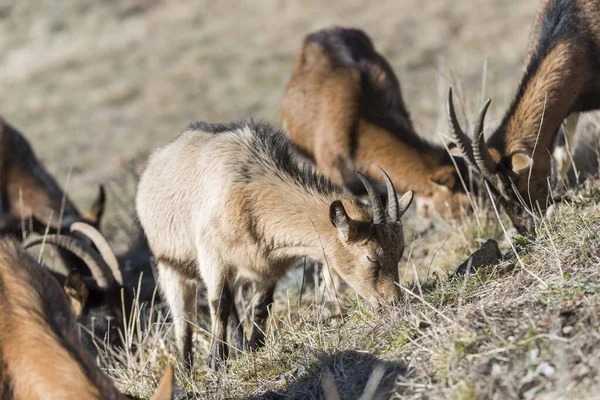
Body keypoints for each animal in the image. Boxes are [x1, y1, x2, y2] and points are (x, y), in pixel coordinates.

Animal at [136, 120, 412, 370]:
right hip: (170, 268)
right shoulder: (212, 257)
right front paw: (216, 361)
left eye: (399, 252)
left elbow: (262, 306)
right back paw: (187, 370)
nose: (394, 302)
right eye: (371, 258)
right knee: (184, 320)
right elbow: (219, 303)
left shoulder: (271, 266)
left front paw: (253, 347)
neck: (248, 196)